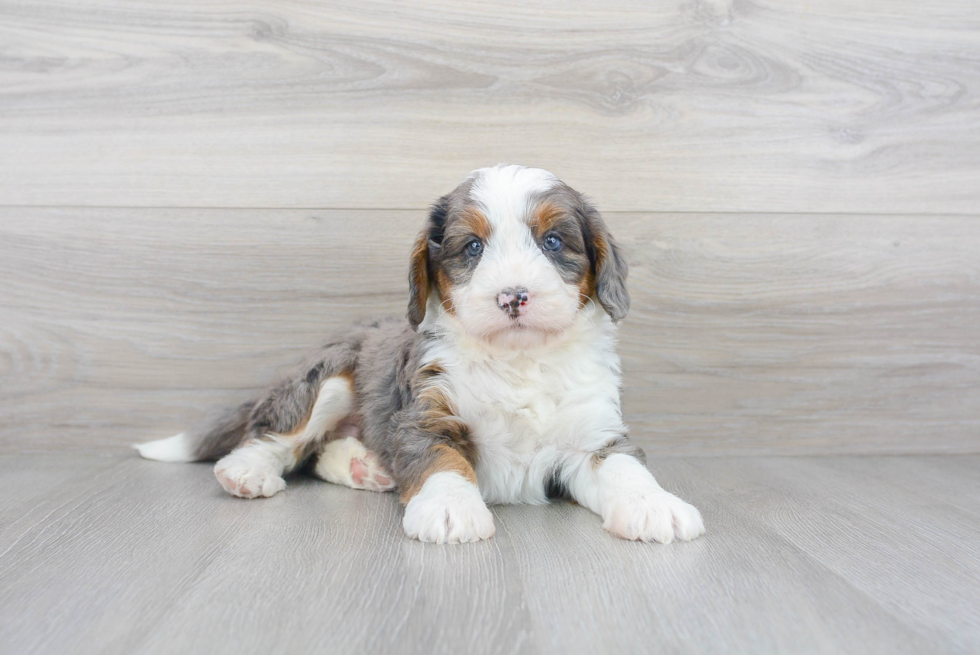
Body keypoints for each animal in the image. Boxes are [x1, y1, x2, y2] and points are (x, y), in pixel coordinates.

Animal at [138, 167, 704, 544]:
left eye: (553, 241)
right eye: (472, 247)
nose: (512, 296)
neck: (518, 362)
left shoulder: (592, 434)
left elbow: (624, 466)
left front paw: (656, 506)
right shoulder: (425, 414)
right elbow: (442, 460)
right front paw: (452, 510)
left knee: (317, 454)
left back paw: (364, 467)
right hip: (329, 377)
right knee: (277, 434)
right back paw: (248, 471)